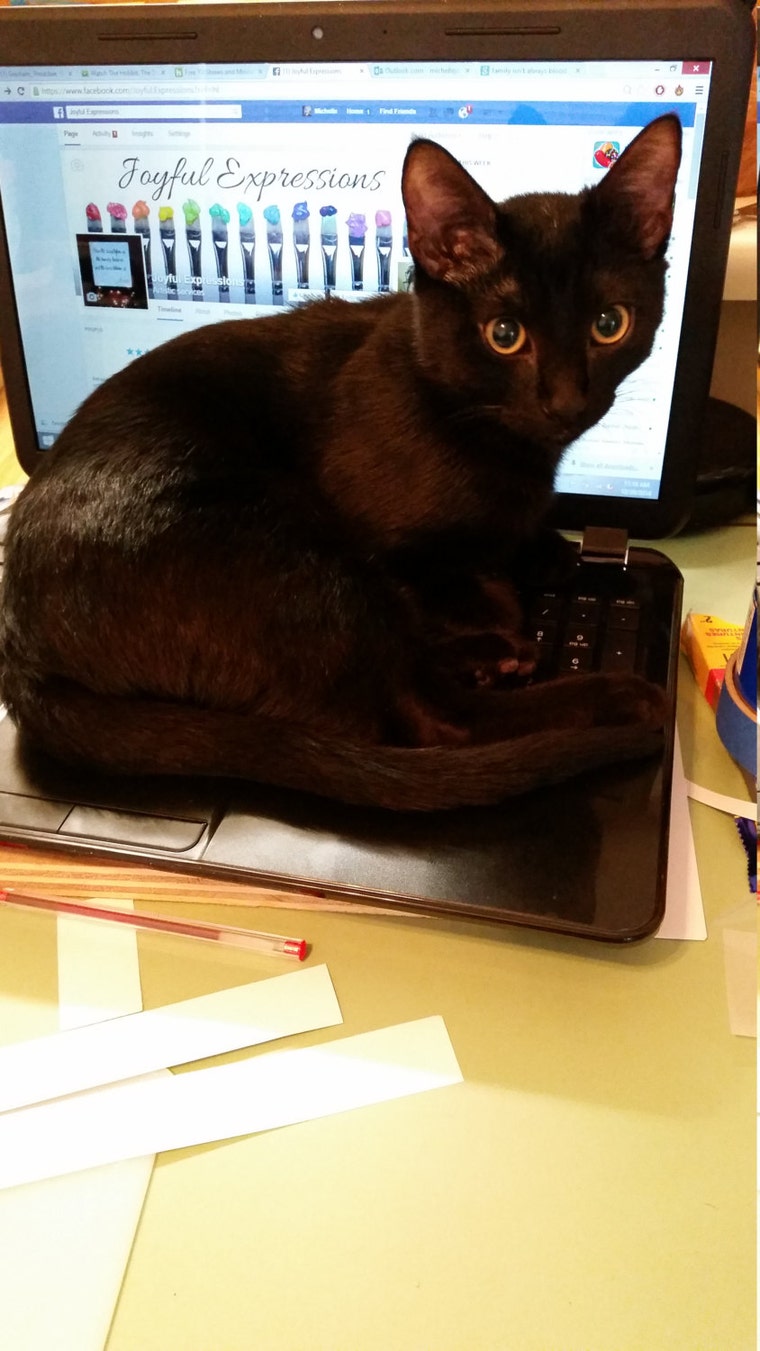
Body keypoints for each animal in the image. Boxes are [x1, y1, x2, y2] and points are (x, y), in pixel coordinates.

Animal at [0, 114, 682, 811]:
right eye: (504, 335)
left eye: (610, 324)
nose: (566, 402)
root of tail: (20, 661)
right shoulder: (379, 541)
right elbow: (445, 586)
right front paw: (494, 602)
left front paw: (543, 554)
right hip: (293, 548)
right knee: (433, 721)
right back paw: (611, 695)